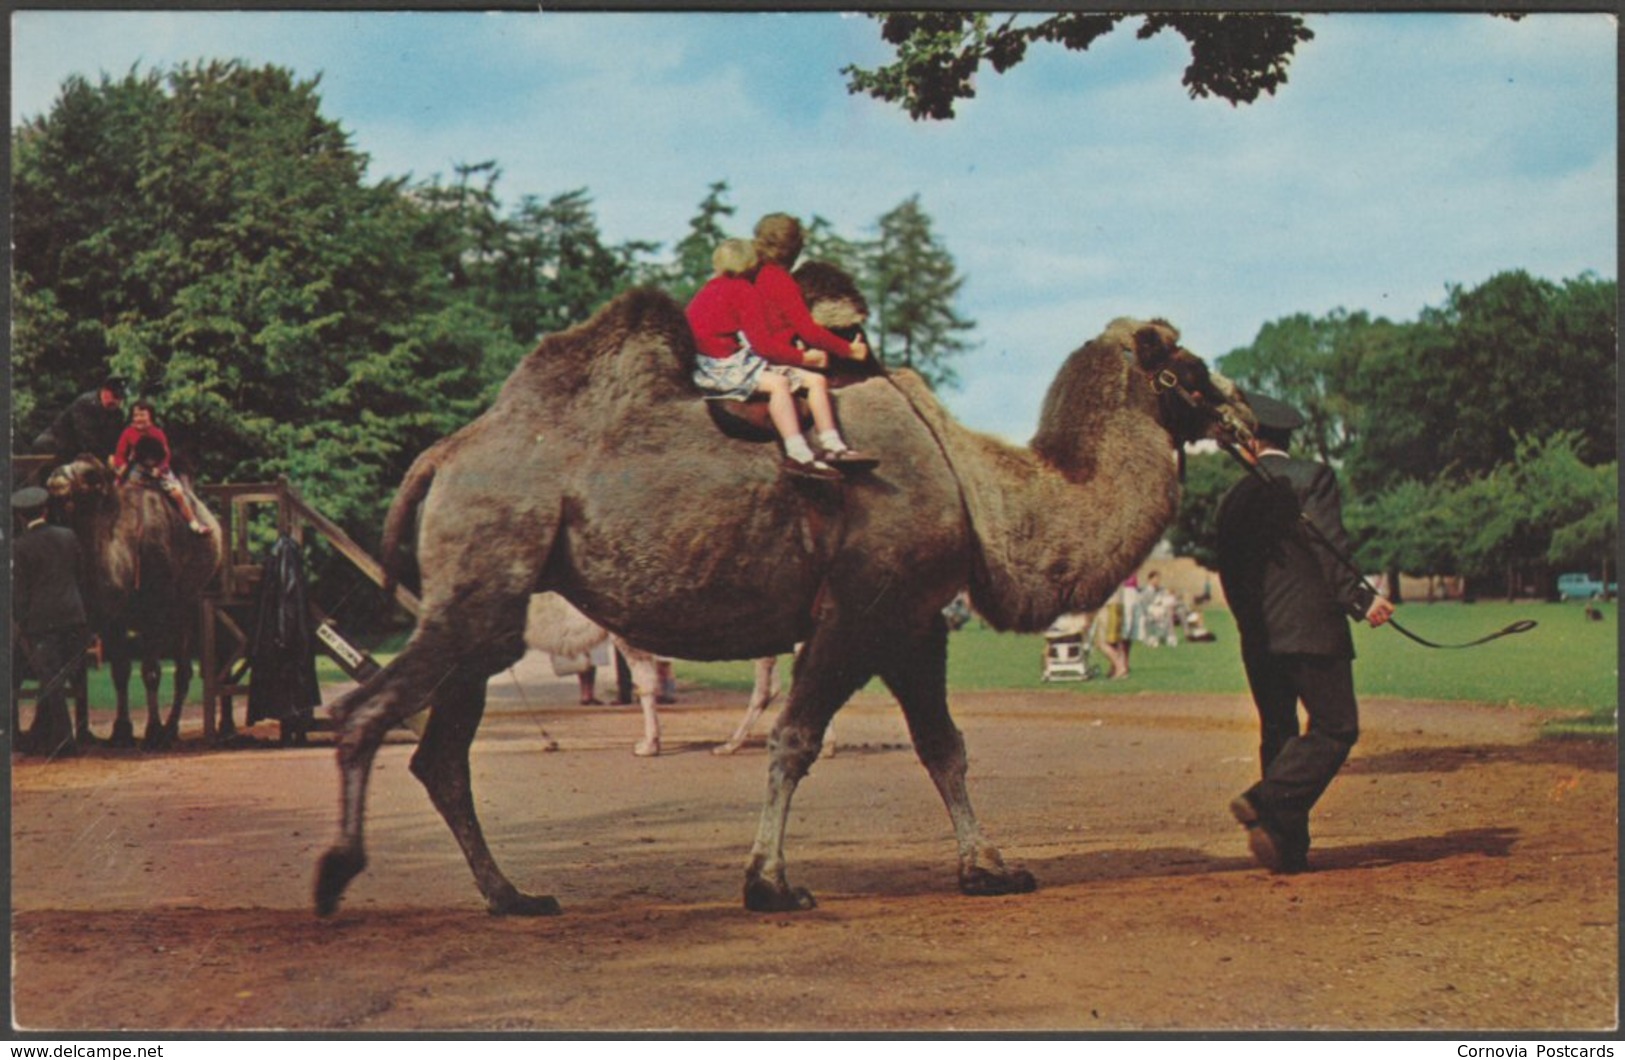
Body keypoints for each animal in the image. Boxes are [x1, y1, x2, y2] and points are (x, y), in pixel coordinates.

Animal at [44, 451, 224, 744]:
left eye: (90, 475)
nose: (57, 475)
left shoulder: (154, 611)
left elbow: (150, 670)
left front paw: (153, 730)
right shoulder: (112, 619)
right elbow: (120, 670)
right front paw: (121, 730)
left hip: (191, 600)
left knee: (184, 668)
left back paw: (171, 728)